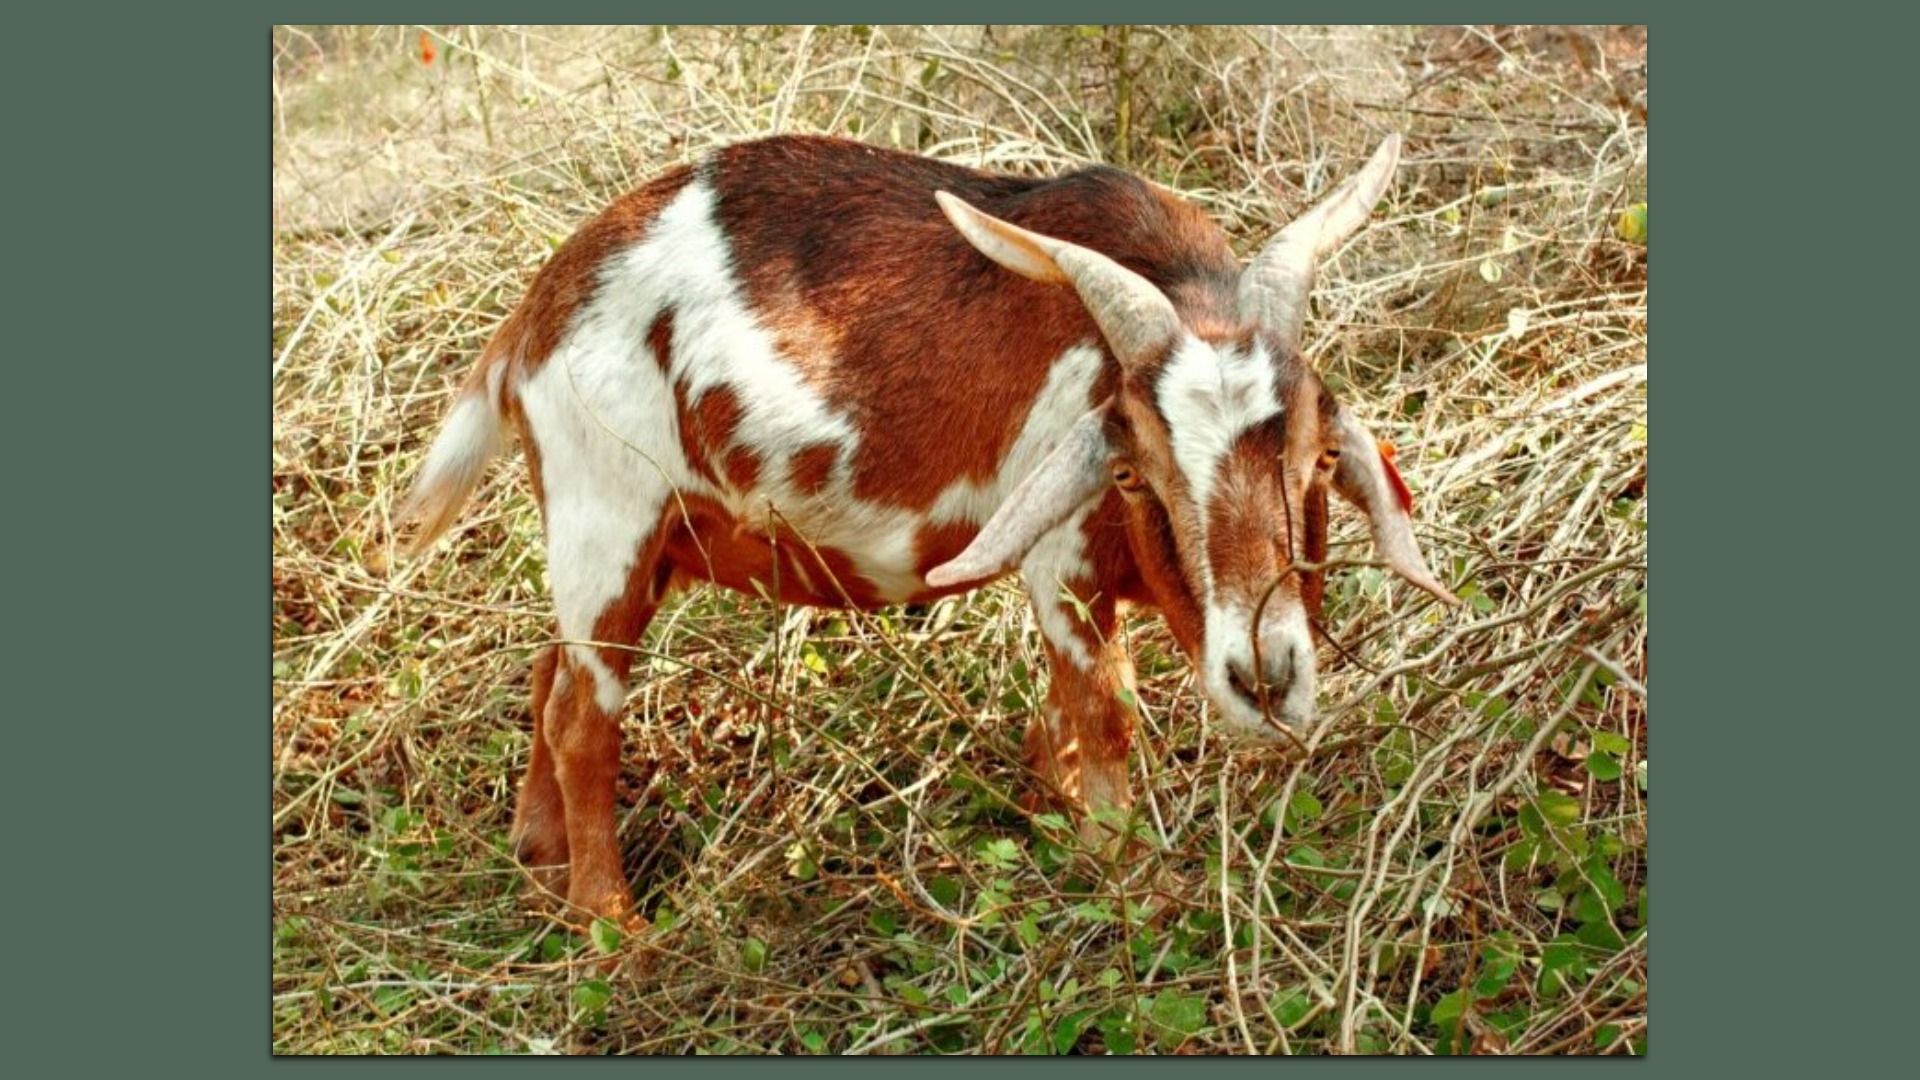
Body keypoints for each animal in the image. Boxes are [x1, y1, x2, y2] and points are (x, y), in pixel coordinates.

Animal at [398, 134, 1458, 924]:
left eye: (1318, 458)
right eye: (1134, 471)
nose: (1265, 679)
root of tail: (535, 314)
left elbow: (1061, 721)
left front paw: (1055, 811)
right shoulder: (1061, 563)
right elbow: (1105, 711)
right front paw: (1129, 877)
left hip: (632, 543)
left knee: (551, 673)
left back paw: (541, 861)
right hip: (607, 512)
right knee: (584, 717)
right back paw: (612, 932)